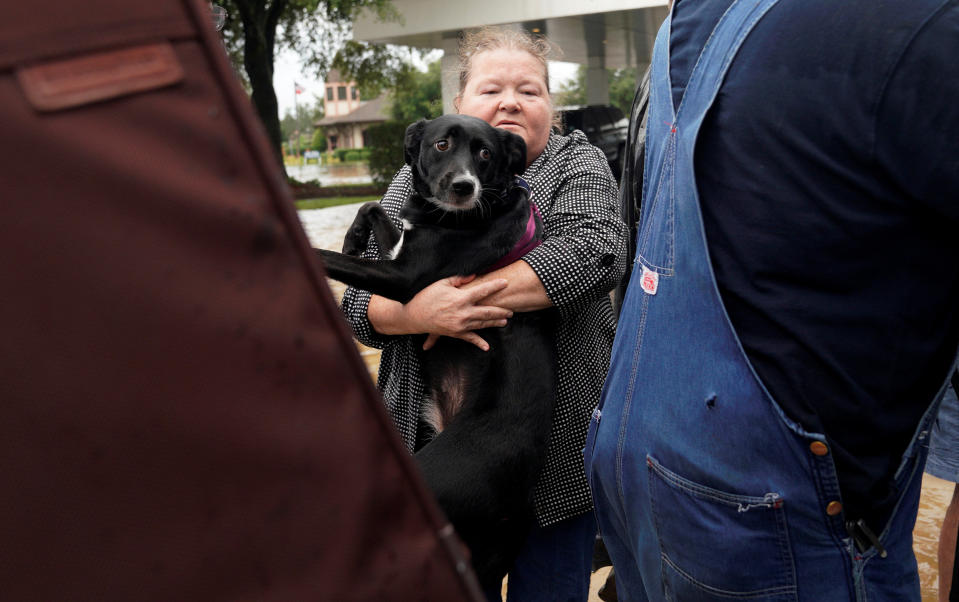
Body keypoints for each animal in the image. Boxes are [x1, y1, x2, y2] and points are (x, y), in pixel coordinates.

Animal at [316, 112, 556, 584]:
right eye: (441, 144)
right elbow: (372, 207)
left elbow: (329, 258)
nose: (464, 187)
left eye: (485, 153)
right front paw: (354, 237)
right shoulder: (399, 250)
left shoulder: (405, 278)